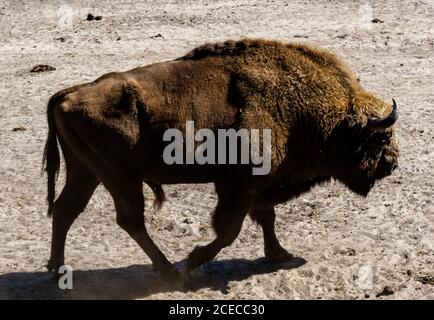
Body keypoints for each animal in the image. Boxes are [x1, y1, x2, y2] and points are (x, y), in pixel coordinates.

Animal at [42, 38, 398, 280]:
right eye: (380, 138)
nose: (392, 164)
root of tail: (70, 94)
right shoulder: (237, 186)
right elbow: (229, 230)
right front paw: (193, 260)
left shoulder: (257, 188)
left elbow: (265, 218)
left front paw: (280, 254)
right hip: (119, 178)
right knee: (129, 219)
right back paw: (170, 271)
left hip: (87, 172)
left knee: (66, 210)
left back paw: (57, 268)